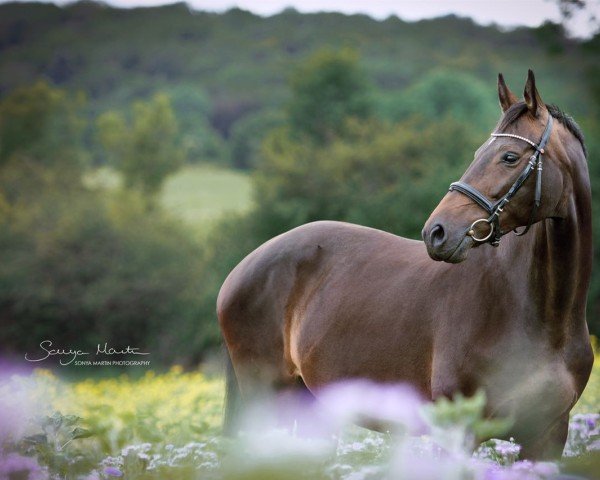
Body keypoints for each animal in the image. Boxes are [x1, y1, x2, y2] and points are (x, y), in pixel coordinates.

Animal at [217, 70, 596, 458]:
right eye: (479, 153)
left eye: (509, 156)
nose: (437, 232)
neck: (541, 316)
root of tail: (240, 271)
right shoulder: (458, 431)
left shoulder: (548, 437)